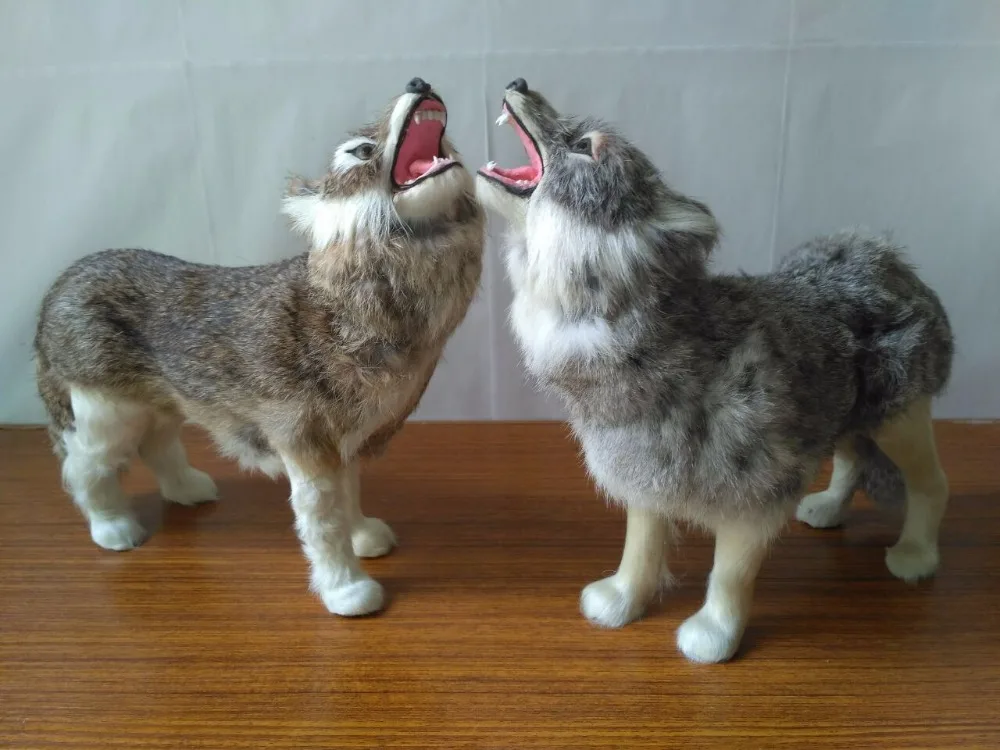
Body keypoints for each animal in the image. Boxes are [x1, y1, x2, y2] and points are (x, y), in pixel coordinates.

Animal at [35, 78, 484, 616]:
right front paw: (347, 590)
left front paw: (363, 536)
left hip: (159, 403)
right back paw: (113, 527)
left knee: (156, 444)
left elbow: (350, 494)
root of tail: (60, 287)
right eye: (360, 151)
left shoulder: (347, 440)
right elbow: (323, 520)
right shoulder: (305, 441)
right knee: (84, 467)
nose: (419, 83)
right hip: (105, 410)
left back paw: (188, 489)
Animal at [477, 79, 953, 663]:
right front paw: (622, 600)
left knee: (931, 485)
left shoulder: (756, 495)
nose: (519, 83)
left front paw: (714, 635)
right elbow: (640, 547)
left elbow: (728, 576)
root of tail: (886, 255)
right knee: (852, 460)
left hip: (898, 419)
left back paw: (916, 554)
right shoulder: (645, 472)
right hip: (845, 408)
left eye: (586, 146)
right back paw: (827, 508)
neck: (654, 340)